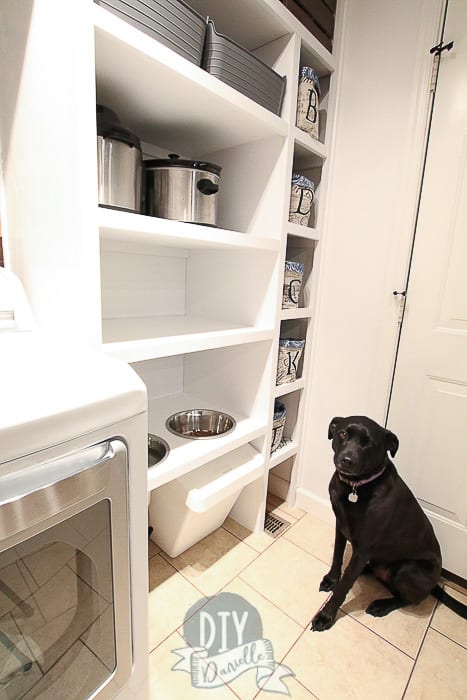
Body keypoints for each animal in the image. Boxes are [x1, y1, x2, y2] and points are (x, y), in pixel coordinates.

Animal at [310, 412, 467, 632]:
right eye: (343, 434)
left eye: (369, 443)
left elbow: (344, 585)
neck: (355, 487)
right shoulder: (340, 526)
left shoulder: (364, 547)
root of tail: (436, 582)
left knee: (409, 599)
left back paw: (381, 605)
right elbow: (337, 557)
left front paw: (326, 616)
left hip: (408, 571)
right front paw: (332, 579)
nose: (347, 460)